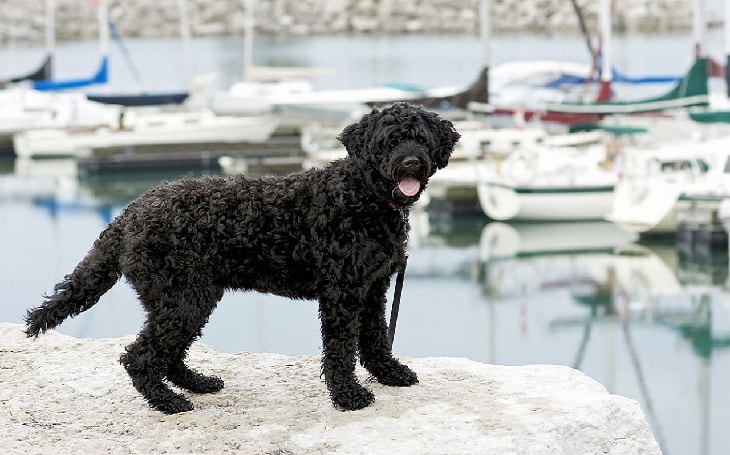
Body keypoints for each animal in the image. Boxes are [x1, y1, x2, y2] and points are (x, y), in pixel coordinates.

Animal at [25, 101, 458, 416]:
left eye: (419, 139)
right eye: (389, 141)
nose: (410, 163)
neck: (362, 198)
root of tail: (128, 214)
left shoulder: (373, 288)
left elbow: (375, 339)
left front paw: (390, 374)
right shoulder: (343, 293)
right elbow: (340, 349)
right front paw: (348, 396)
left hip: (187, 298)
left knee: (168, 353)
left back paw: (197, 383)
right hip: (183, 298)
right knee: (141, 357)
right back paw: (169, 402)